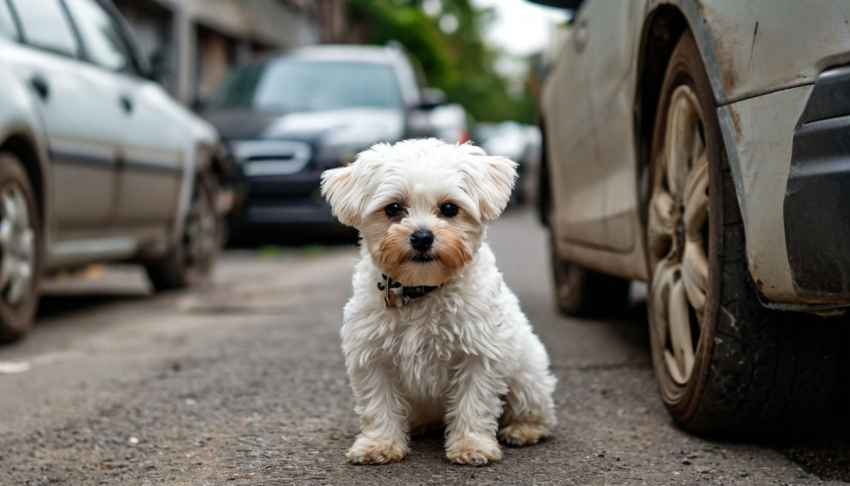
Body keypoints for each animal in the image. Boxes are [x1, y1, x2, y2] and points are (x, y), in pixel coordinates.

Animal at [322, 139, 552, 466]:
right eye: (393, 208)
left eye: (449, 208)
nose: (421, 237)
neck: (422, 289)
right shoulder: (373, 356)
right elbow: (378, 405)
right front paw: (379, 445)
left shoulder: (479, 354)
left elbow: (474, 403)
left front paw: (471, 445)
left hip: (527, 376)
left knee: (536, 411)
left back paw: (523, 429)